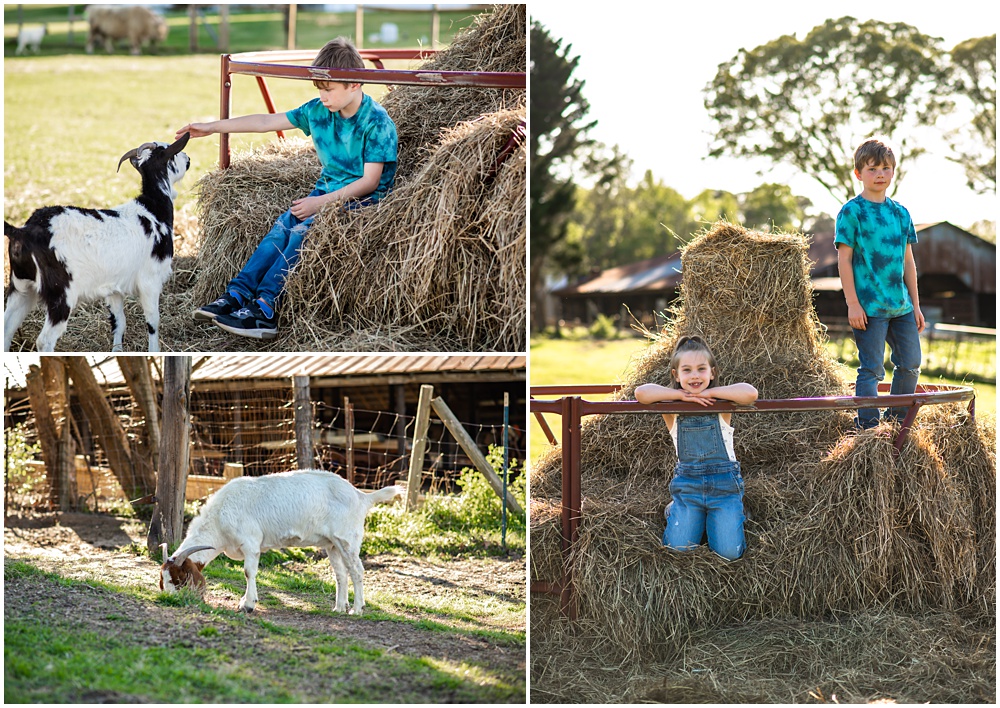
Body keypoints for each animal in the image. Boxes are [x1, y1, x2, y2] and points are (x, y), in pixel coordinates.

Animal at [3, 131, 192, 352]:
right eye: (172, 152)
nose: (188, 159)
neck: (153, 210)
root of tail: (24, 231)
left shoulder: (114, 287)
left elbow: (119, 322)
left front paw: (117, 351)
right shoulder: (150, 280)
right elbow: (153, 321)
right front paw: (154, 351)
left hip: (21, 287)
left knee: (6, 328)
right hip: (61, 293)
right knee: (45, 340)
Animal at [160, 470, 402, 612]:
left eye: (179, 579)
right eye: (163, 581)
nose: (172, 601)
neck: (220, 517)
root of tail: (362, 496)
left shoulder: (250, 544)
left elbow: (248, 572)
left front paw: (247, 604)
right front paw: (249, 601)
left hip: (347, 539)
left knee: (357, 571)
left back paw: (357, 609)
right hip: (332, 544)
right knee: (341, 574)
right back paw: (339, 608)